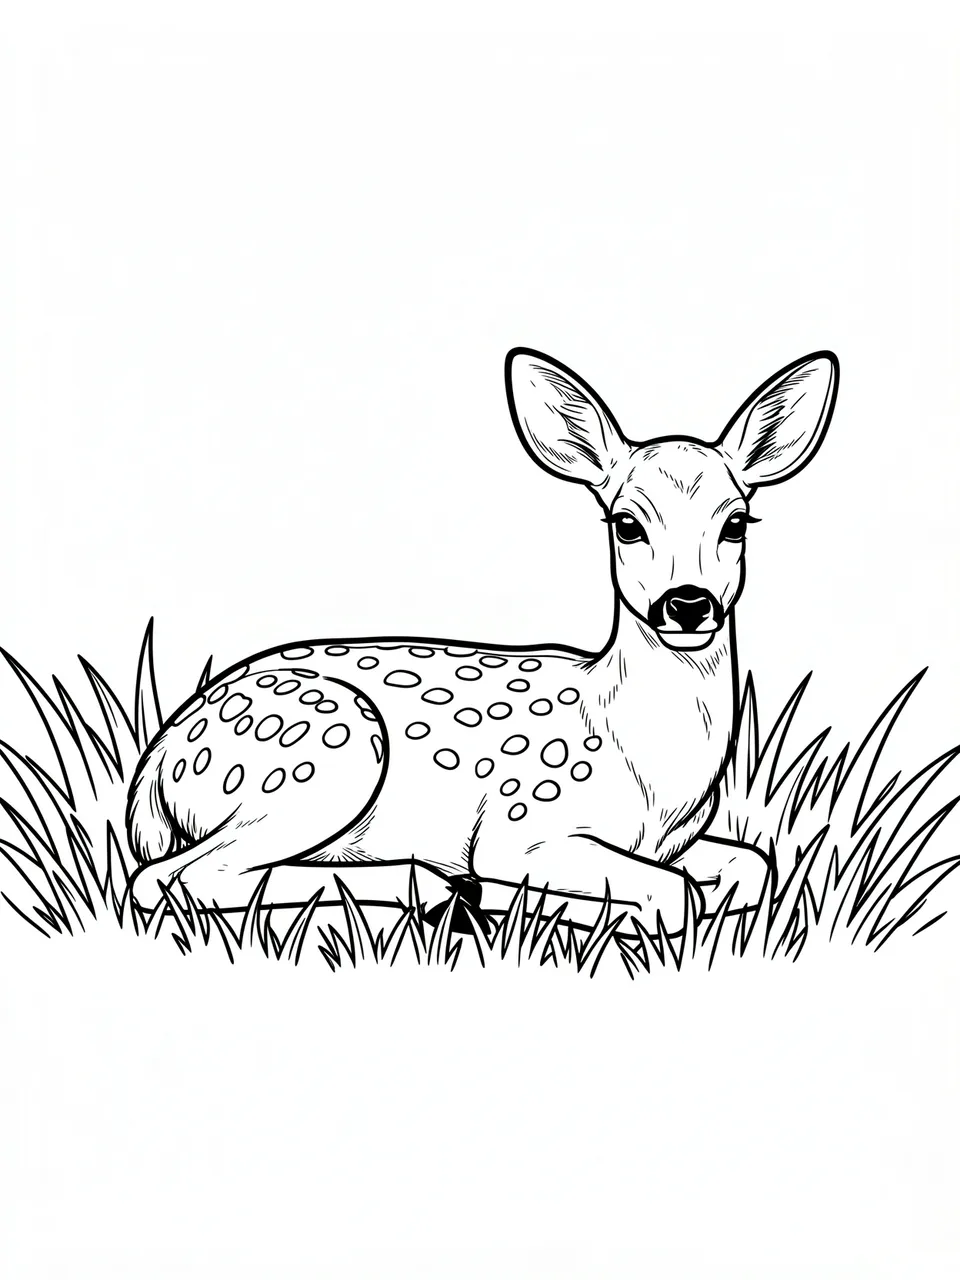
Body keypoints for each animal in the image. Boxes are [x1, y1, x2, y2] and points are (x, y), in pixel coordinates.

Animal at [127, 347, 839, 936]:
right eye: (625, 522)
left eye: (737, 522)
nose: (688, 603)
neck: (650, 770)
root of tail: (151, 775)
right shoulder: (522, 825)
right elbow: (672, 895)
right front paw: (556, 907)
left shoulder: (681, 842)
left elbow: (753, 867)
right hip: (319, 761)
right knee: (171, 879)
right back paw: (433, 889)